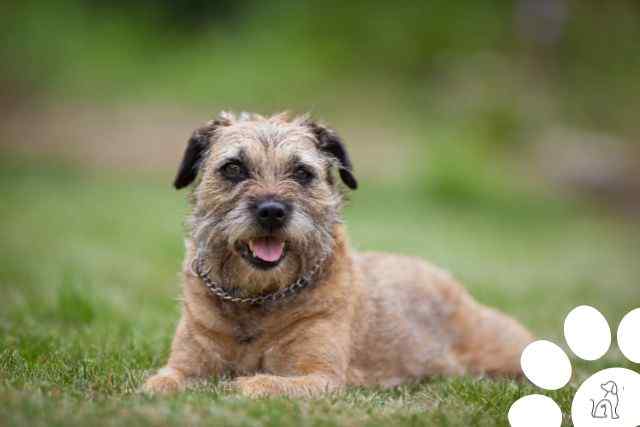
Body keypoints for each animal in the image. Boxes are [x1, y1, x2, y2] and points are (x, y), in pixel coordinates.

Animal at [145, 111, 536, 398]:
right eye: (233, 168)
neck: (258, 300)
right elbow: (160, 382)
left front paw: (241, 385)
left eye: (302, 172)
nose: (272, 211)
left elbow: (261, 384)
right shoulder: (185, 364)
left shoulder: (321, 377)